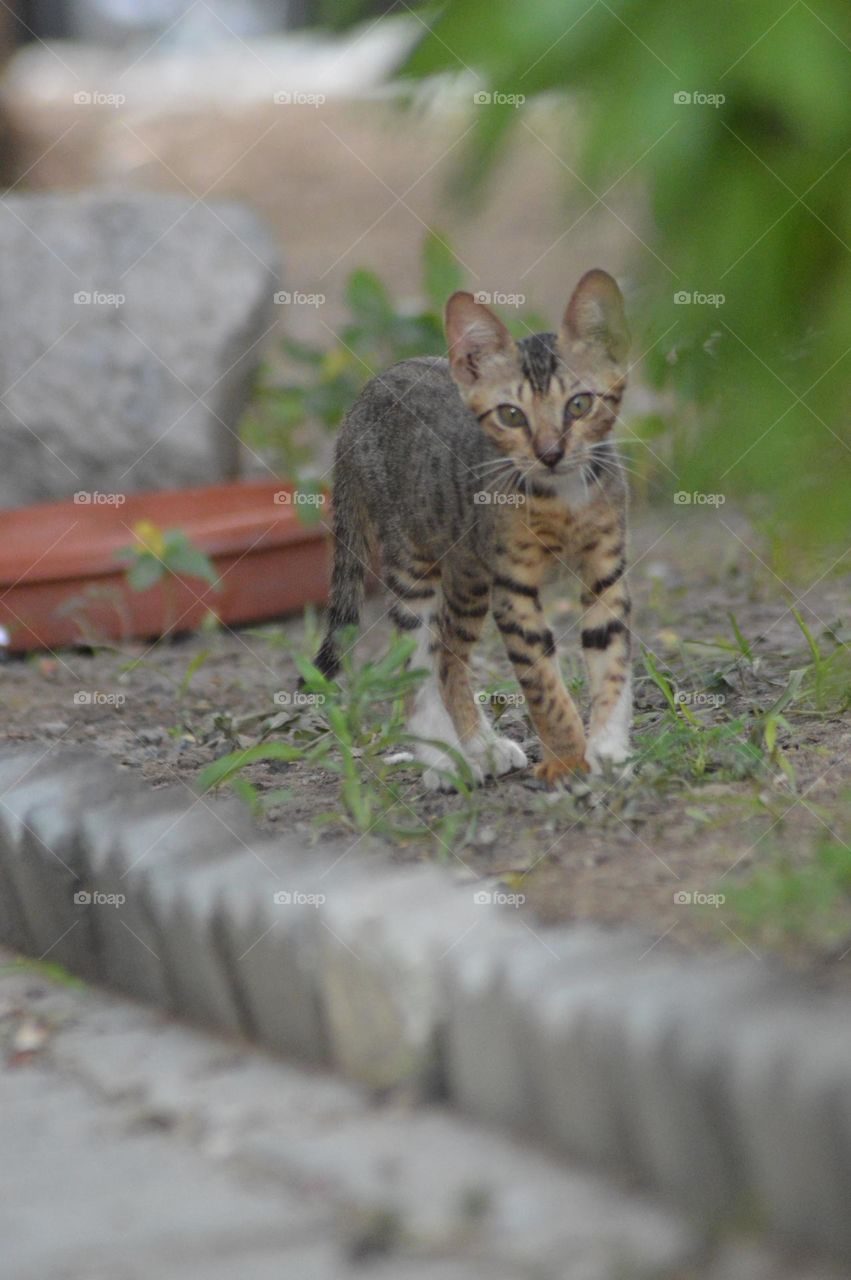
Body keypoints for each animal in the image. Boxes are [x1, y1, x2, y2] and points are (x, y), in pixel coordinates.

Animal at [313, 270, 629, 788]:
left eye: (579, 405)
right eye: (511, 415)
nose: (550, 453)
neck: (560, 500)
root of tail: (361, 400)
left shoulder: (606, 570)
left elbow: (611, 658)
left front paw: (609, 747)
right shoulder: (512, 587)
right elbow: (540, 678)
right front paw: (567, 758)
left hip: (467, 577)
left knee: (448, 653)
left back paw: (480, 744)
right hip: (413, 566)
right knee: (420, 662)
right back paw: (442, 760)